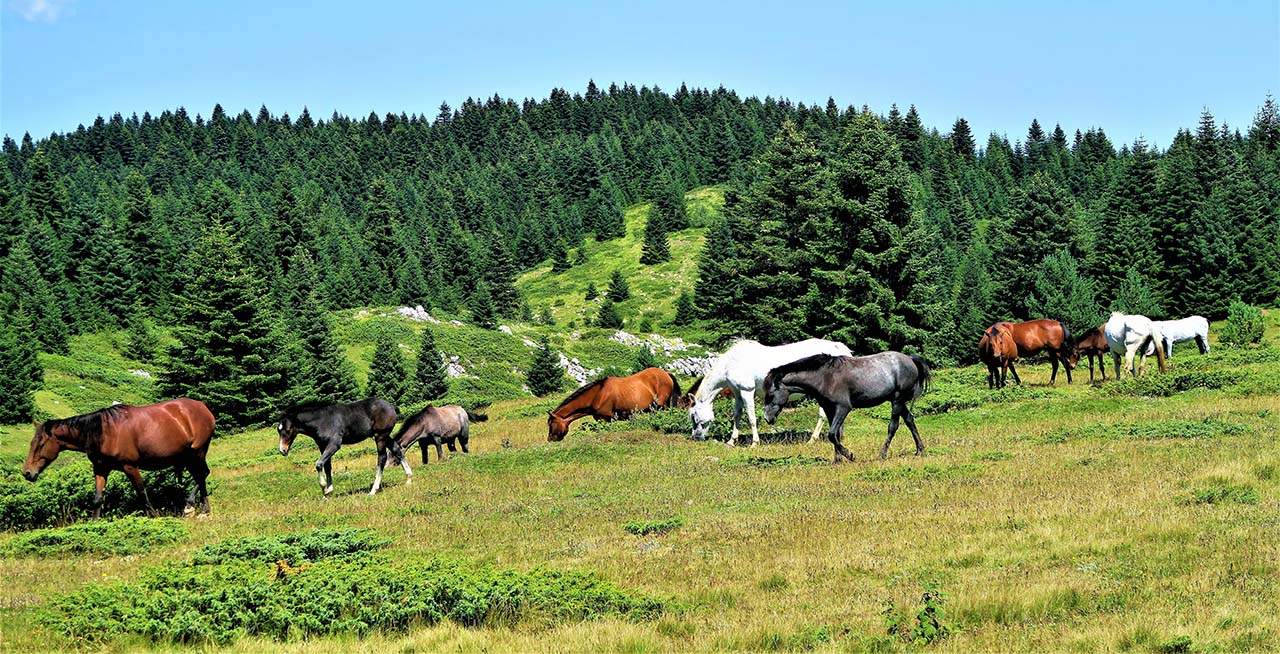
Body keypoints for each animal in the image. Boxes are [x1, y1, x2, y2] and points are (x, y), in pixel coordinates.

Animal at [22, 396, 215, 519]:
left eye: (40, 444)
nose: (27, 473)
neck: (103, 433)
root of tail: (203, 407)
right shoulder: (101, 469)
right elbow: (98, 499)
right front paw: (94, 525)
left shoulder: (130, 467)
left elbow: (142, 493)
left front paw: (153, 516)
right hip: (186, 457)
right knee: (201, 476)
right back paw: (203, 509)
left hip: (197, 452)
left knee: (202, 475)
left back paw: (191, 507)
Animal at [276, 399, 404, 496]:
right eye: (278, 430)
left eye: (288, 430)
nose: (282, 450)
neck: (322, 421)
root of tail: (391, 406)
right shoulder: (322, 446)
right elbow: (327, 466)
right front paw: (328, 491)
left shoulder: (334, 444)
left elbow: (319, 464)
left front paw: (324, 488)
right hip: (385, 436)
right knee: (397, 450)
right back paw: (407, 478)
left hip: (380, 436)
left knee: (382, 458)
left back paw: (373, 490)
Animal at [545, 366, 680, 442]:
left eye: (551, 424)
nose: (550, 440)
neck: (598, 394)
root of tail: (666, 374)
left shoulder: (605, 419)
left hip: (661, 406)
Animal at [686, 340, 855, 447]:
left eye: (693, 415)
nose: (696, 437)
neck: (732, 363)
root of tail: (838, 348)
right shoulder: (738, 394)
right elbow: (737, 416)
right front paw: (731, 441)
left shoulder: (747, 392)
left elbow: (752, 418)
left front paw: (755, 443)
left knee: (822, 415)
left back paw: (812, 440)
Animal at [757, 353, 931, 465]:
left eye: (770, 394)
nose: (767, 418)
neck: (825, 377)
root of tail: (910, 359)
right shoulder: (829, 409)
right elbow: (836, 435)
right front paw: (837, 459)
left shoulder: (843, 408)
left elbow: (832, 434)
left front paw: (850, 455)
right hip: (899, 402)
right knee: (910, 421)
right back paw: (920, 451)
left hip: (897, 400)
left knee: (893, 426)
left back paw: (882, 455)